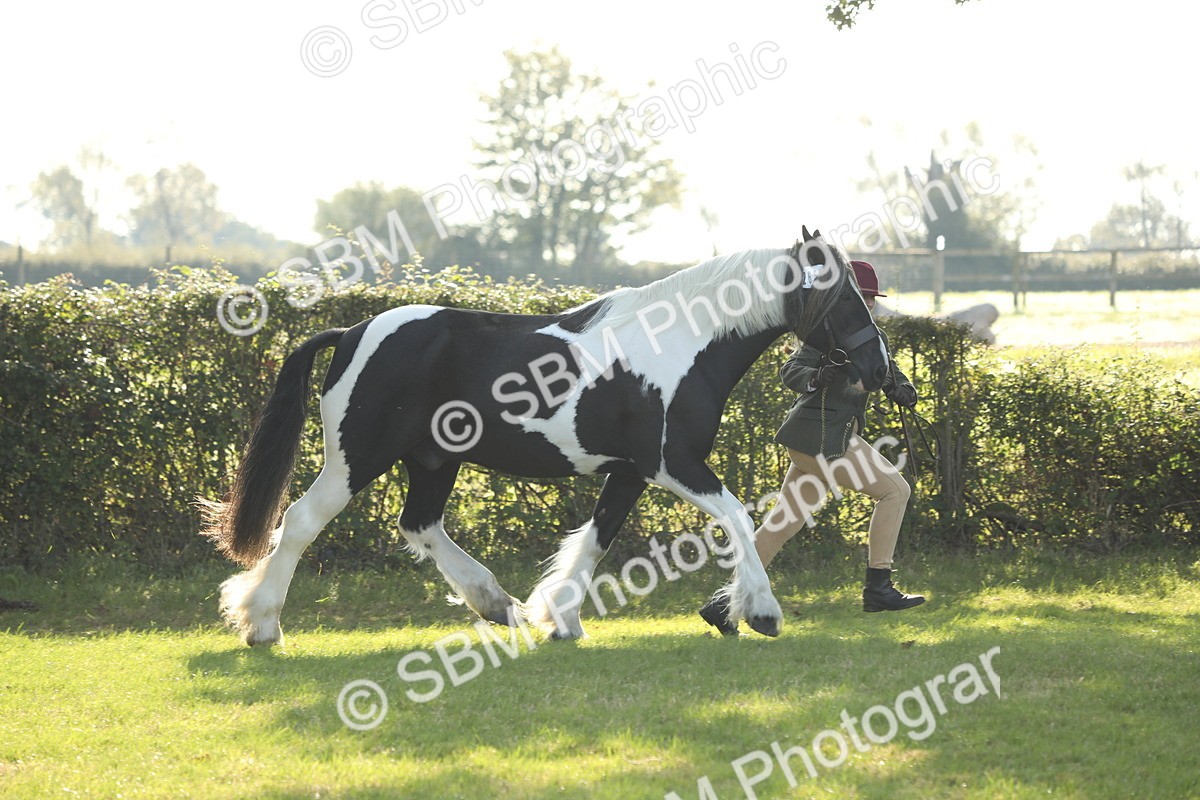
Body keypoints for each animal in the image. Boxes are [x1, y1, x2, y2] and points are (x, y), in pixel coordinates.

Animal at [202, 228, 890, 645]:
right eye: (845, 298)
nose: (880, 369)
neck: (680, 344)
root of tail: (349, 333)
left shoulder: (629, 473)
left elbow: (594, 541)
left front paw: (561, 620)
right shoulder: (673, 463)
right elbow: (740, 518)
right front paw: (763, 612)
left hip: (433, 460)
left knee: (420, 526)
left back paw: (496, 603)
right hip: (358, 458)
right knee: (299, 521)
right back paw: (261, 626)